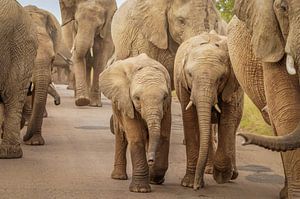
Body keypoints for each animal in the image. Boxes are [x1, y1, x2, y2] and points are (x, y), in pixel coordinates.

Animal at [99, 53, 172, 192]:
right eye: (137, 98)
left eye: (164, 97)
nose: (151, 160)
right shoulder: (126, 101)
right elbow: (137, 138)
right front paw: (141, 190)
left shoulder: (167, 107)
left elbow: (163, 136)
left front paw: (155, 179)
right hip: (117, 105)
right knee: (121, 136)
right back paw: (118, 177)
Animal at [173, 31, 244, 189]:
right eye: (190, 75)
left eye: (221, 78)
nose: (197, 187)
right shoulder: (182, 83)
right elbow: (190, 119)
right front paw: (188, 183)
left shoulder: (231, 84)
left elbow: (227, 121)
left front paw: (222, 175)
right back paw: (209, 170)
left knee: (233, 126)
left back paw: (231, 174)